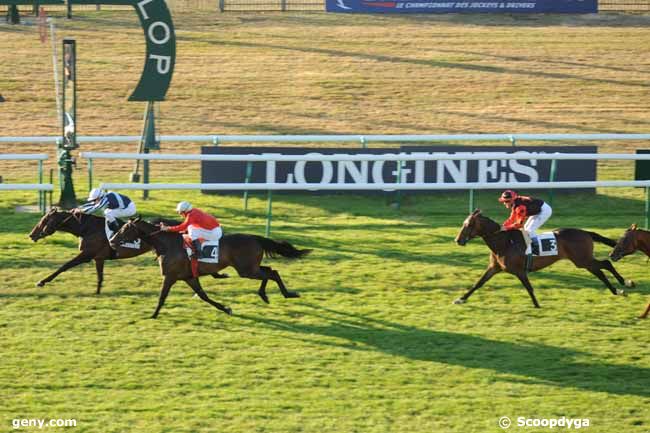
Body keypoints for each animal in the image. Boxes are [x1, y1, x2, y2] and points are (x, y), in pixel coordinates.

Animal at [109, 219, 312, 318]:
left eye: (125, 228)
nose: (111, 240)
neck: (167, 245)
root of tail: (255, 238)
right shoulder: (189, 277)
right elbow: (203, 296)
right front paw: (226, 308)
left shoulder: (171, 276)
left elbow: (162, 297)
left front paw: (153, 314)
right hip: (249, 267)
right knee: (270, 271)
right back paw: (271, 294)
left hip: (246, 270)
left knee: (271, 273)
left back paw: (281, 294)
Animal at [454, 209, 632, 308]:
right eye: (464, 223)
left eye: (469, 225)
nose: (458, 240)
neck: (503, 242)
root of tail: (586, 232)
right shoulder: (494, 268)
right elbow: (478, 283)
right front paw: (461, 299)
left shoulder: (519, 271)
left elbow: (529, 288)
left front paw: (537, 305)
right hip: (583, 261)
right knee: (600, 271)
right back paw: (617, 289)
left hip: (582, 260)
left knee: (605, 264)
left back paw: (624, 283)